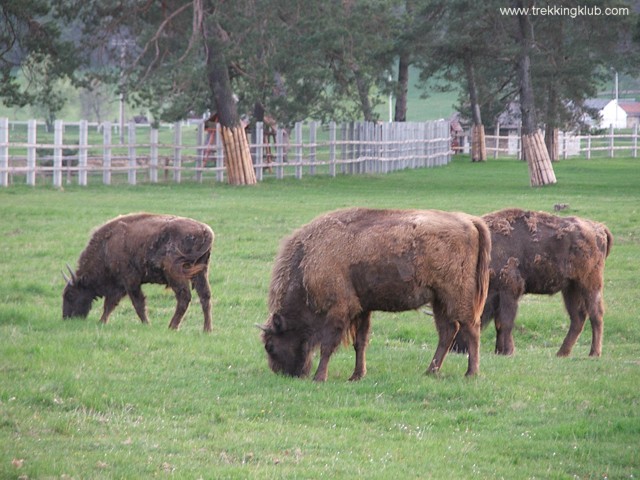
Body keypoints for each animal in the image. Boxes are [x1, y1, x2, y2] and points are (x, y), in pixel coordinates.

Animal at [64, 212, 215, 332]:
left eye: (70, 295)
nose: (66, 317)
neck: (107, 245)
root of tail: (205, 231)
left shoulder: (130, 282)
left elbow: (136, 303)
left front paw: (146, 324)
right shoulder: (121, 285)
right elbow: (111, 304)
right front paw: (102, 321)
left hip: (176, 274)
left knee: (184, 297)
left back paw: (172, 327)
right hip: (201, 271)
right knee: (205, 296)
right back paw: (207, 330)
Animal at [258, 208, 490, 380]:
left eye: (270, 346)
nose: (283, 373)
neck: (309, 259)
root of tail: (470, 221)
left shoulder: (340, 309)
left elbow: (328, 345)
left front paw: (319, 377)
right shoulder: (362, 309)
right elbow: (360, 343)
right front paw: (357, 375)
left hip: (457, 297)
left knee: (471, 329)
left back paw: (471, 373)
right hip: (439, 300)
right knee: (447, 332)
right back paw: (430, 371)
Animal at [452, 209, 612, 356]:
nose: (455, 349)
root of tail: (599, 228)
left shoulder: (509, 291)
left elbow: (505, 323)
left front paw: (507, 351)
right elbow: (499, 323)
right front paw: (499, 351)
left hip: (589, 284)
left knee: (596, 315)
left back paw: (594, 353)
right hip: (570, 288)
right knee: (578, 318)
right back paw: (561, 353)